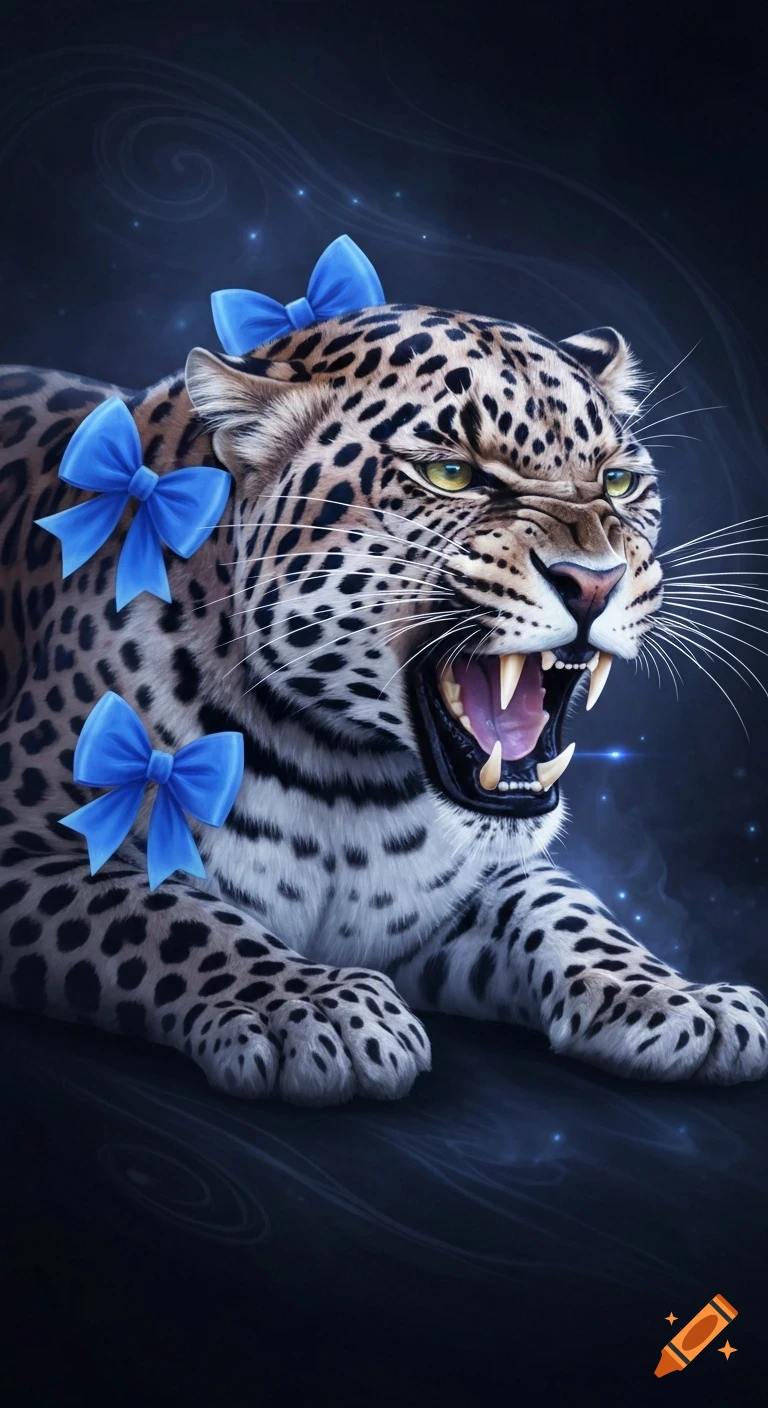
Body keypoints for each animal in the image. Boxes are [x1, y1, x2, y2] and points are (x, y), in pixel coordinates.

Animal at [0, 295, 766, 1105]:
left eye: (619, 482)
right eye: (450, 474)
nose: (595, 581)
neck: (346, 778)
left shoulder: (467, 890)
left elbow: (568, 909)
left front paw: (681, 999)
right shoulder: (35, 848)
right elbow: (173, 915)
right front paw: (312, 1007)